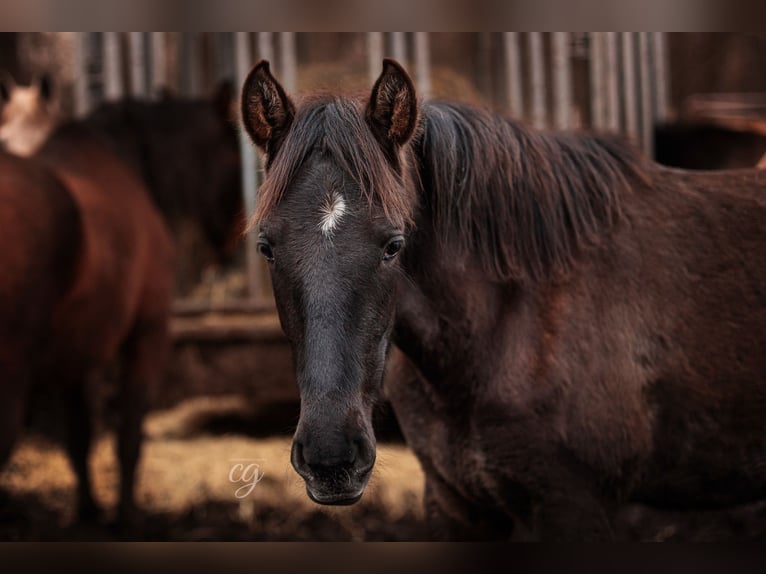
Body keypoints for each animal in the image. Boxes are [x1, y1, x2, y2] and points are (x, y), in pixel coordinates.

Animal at [0, 121, 174, 528]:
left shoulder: (76, 357)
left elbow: (79, 437)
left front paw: (88, 510)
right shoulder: (148, 333)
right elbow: (128, 432)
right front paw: (126, 516)